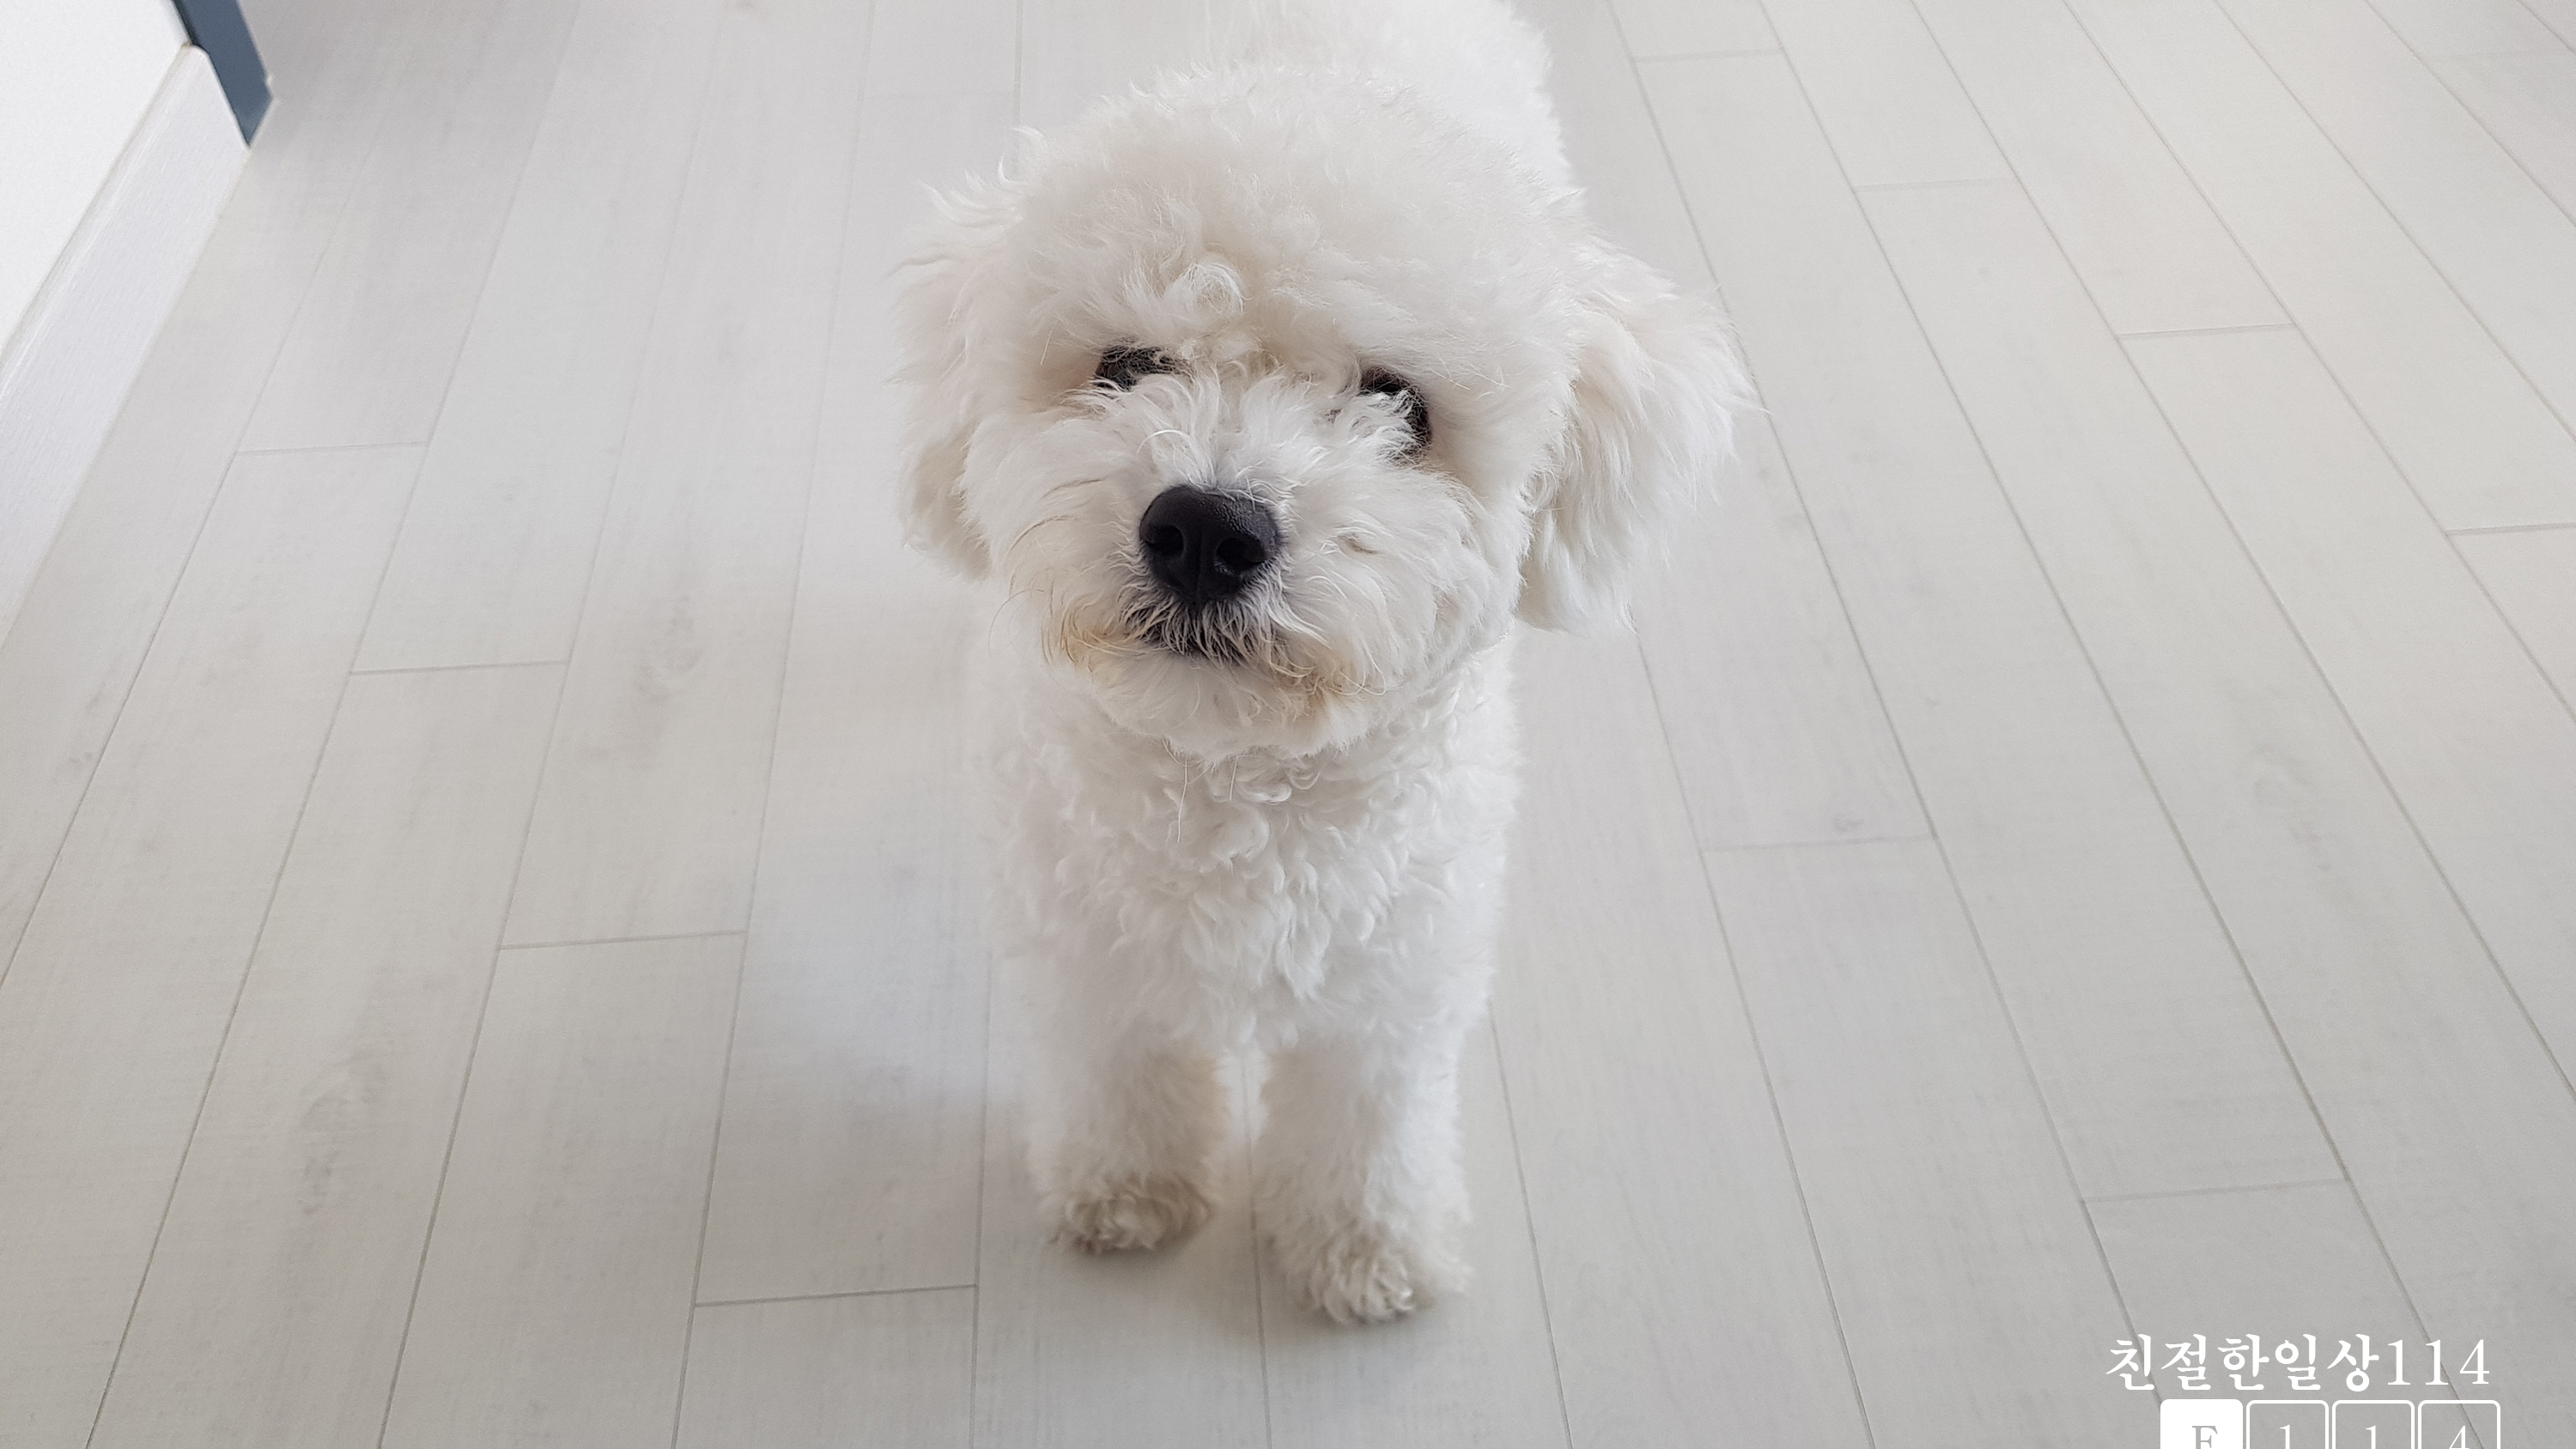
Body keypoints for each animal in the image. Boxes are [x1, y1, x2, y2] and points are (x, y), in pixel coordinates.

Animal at [895, 0, 1744, 1322]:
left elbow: (1365, 1125)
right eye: (1127, 365)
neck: (1229, 786)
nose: (1205, 529)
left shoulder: (1391, 989)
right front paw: (1127, 1190)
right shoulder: (1087, 961)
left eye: (1399, 404)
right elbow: (1118, 1076)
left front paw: (1365, 1248)